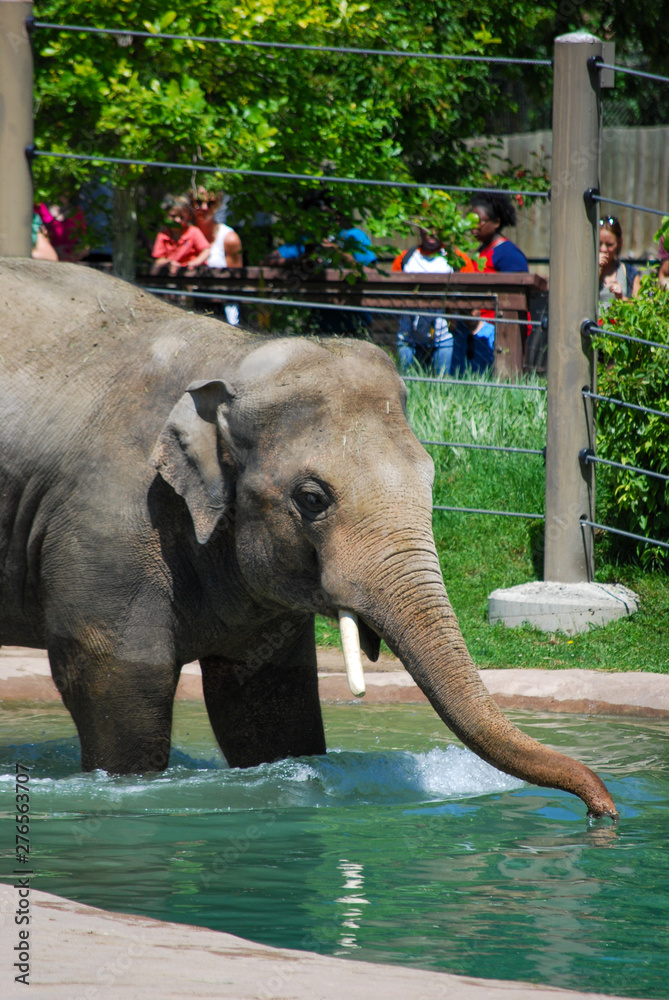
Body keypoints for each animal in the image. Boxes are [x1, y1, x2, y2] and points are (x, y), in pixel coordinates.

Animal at [0, 259, 617, 819]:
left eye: (430, 478)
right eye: (313, 499)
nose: (602, 812)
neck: (230, 361)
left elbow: (268, 699)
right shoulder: (107, 524)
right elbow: (121, 674)